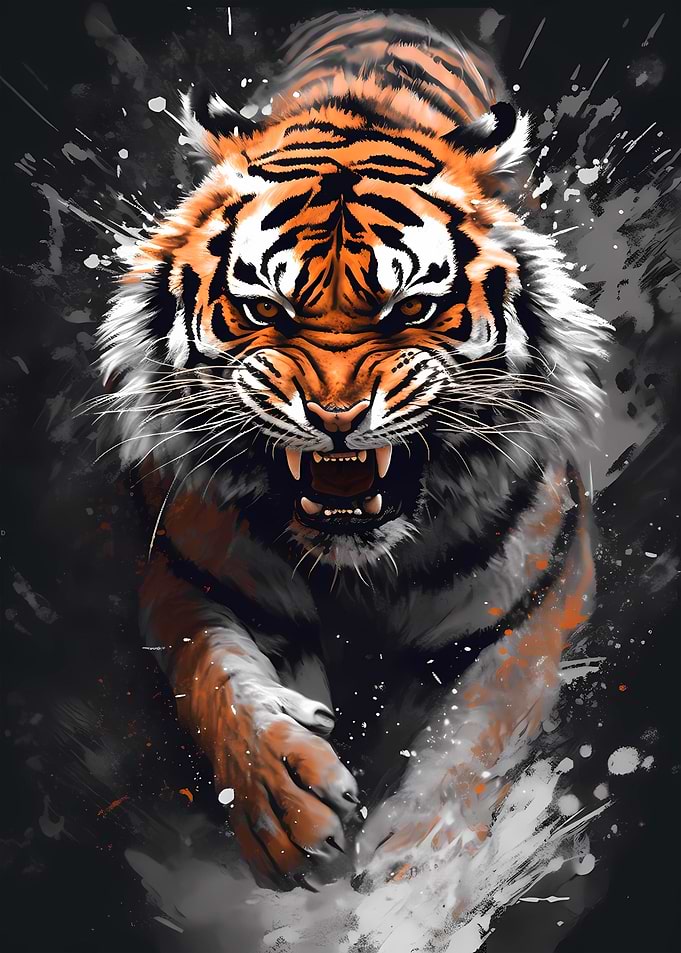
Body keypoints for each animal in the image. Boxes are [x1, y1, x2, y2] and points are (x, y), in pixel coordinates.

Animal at [95, 10, 609, 895]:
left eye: (411, 307)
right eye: (264, 307)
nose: (335, 416)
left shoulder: (537, 595)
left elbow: (475, 730)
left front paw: (418, 875)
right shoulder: (184, 573)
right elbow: (213, 677)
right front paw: (283, 800)